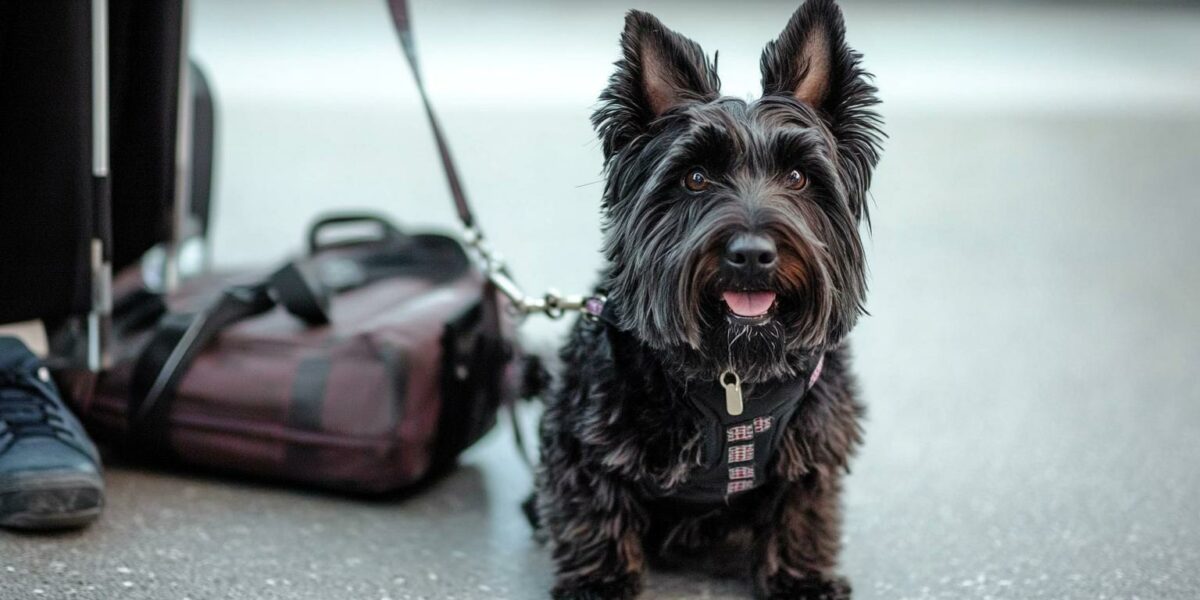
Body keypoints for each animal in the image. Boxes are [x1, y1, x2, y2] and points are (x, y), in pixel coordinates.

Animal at [535, 2, 883, 597]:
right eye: (695, 177)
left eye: (798, 176)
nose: (752, 255)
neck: (732, 374)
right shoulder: (584, 434)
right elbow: (596, 507)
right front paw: (601, 582)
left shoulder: (814, 440)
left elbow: (802, 508)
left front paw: (800, 579)